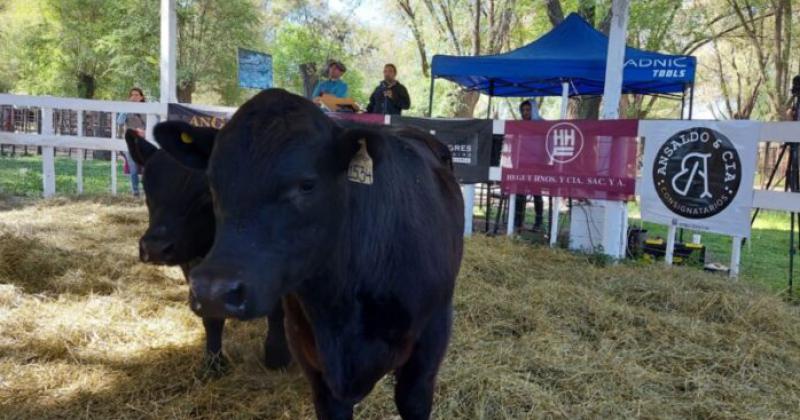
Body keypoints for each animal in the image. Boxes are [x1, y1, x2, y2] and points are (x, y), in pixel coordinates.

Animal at [122, 130, 290, 374]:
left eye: (206, 191)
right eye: (147, 187)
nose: (154, 248)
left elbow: (276, 310)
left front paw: (277, 354)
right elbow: (211, 317)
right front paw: (213, 362)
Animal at [152, 89, 462, 420]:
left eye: (307, 185)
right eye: (212, 182)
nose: (213, 292)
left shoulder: (427, 353)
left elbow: (412, 400)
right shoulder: (316, 367)